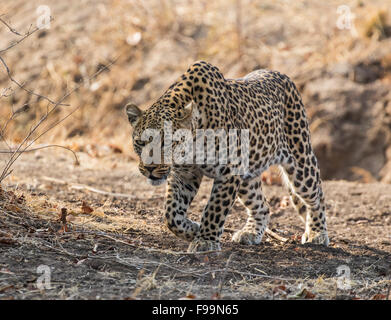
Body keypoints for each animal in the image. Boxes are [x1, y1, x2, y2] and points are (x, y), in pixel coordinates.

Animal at [125, 60, 328, 252]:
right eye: (140, 142)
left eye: (166, 142)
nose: (150, 169)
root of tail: (281, 74)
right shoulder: (185, 174)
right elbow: (171, 214)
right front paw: (192, 230)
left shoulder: (229, 171)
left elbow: (215, 208)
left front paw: (205, 241)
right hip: (247, 177)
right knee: (262, 205)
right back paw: (250, 232)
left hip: (300, 163)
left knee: (316, 196)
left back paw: (317, 233)